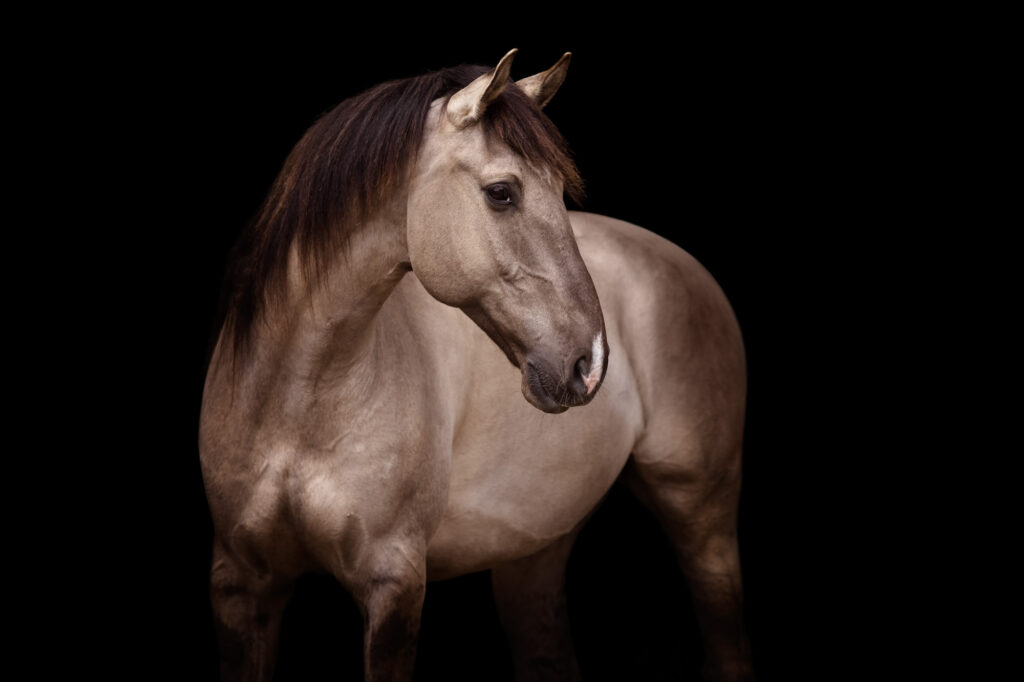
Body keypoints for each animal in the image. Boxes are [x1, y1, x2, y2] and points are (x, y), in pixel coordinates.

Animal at [200, 49, 753, 681]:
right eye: (502, 192)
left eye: (559, 188)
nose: (591, 362)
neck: (299, 400)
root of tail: (681, 263)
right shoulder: (239, 584)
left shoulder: (392, 586)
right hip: (536, 548)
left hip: (702, 517)